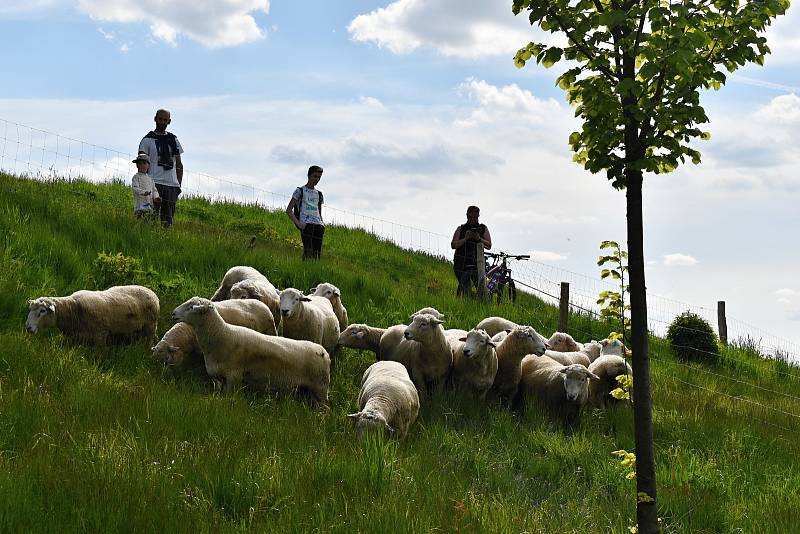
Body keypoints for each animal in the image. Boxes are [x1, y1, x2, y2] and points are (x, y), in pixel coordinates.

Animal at [25, 284, 159, 348]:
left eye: (42, 311)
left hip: (150, 326)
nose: (28, 328)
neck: (72, 309)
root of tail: (152, 293)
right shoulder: (77, 338)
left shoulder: (101, 334)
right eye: (30, 310)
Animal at [170, 298, 330, 402]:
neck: (222, 335)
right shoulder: (218, 379)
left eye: (191, 307)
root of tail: (325, 353)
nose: (173, 313)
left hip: (320, 388)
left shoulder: (234, 377)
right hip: (307, 390)